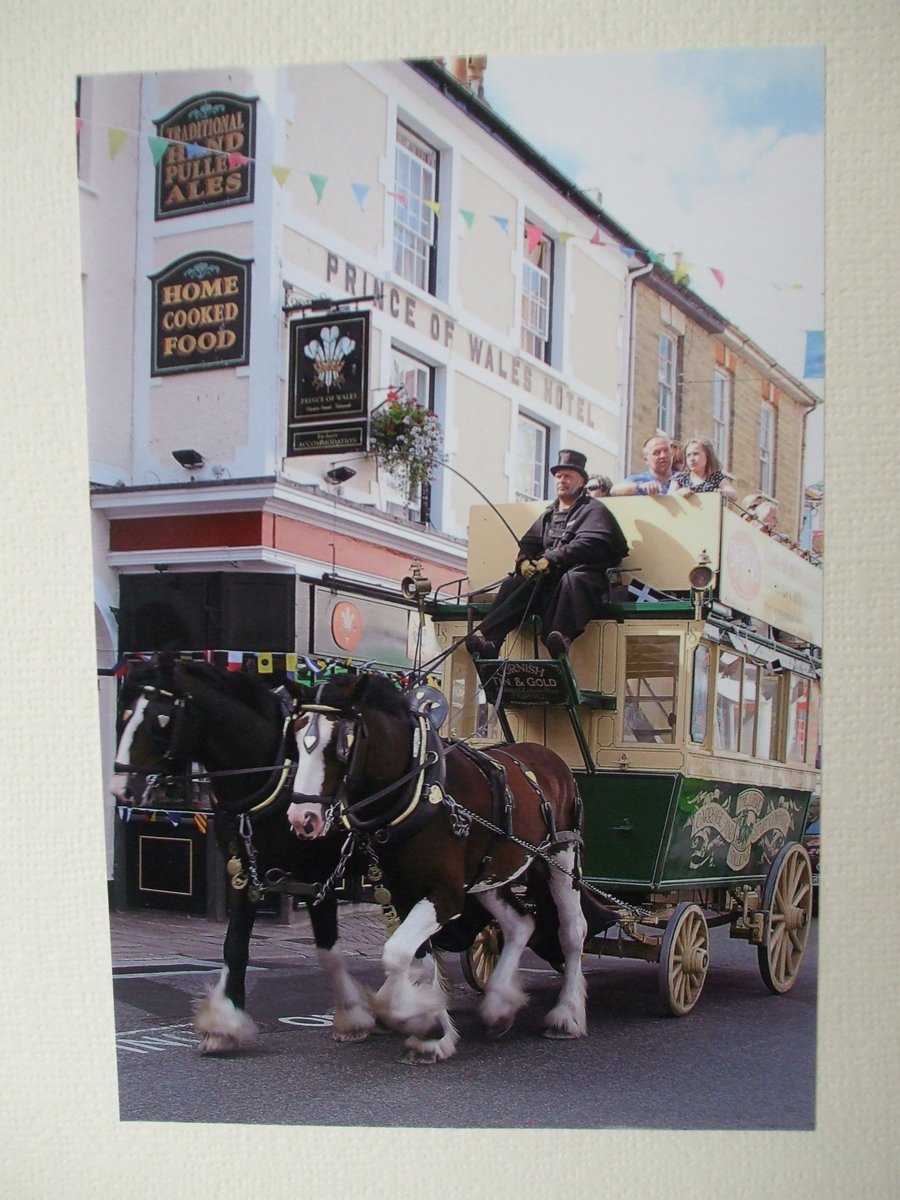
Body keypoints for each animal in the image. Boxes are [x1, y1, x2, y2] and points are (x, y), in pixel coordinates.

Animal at [289, 672, 592, 1065]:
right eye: (296, 737)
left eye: (341, 742)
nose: (302, 818)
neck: (417, 788)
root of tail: (550, 757)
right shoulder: (403, 892)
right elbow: (417, 959)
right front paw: (431, 1028)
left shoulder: (445, 895)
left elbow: (396, 953)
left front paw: (420, 1022)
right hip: (489, 874)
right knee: (521, 923)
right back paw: (499, 1007)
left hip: (562, 860)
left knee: (572, 931)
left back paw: (565, 1016)